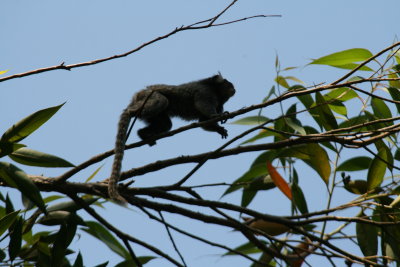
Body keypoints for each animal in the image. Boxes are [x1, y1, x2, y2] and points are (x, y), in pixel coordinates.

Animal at [108, 73, 236, 203]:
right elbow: (203, 107)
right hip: (148, 96)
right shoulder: (205, 92)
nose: (233, 89)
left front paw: (219, 129)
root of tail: (137, 96)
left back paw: (143, 134)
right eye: (228, 84)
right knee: (161, 101)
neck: (215, 90)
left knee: (166, 124)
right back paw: (130, 113)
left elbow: (204, 122)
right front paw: (216, 116)